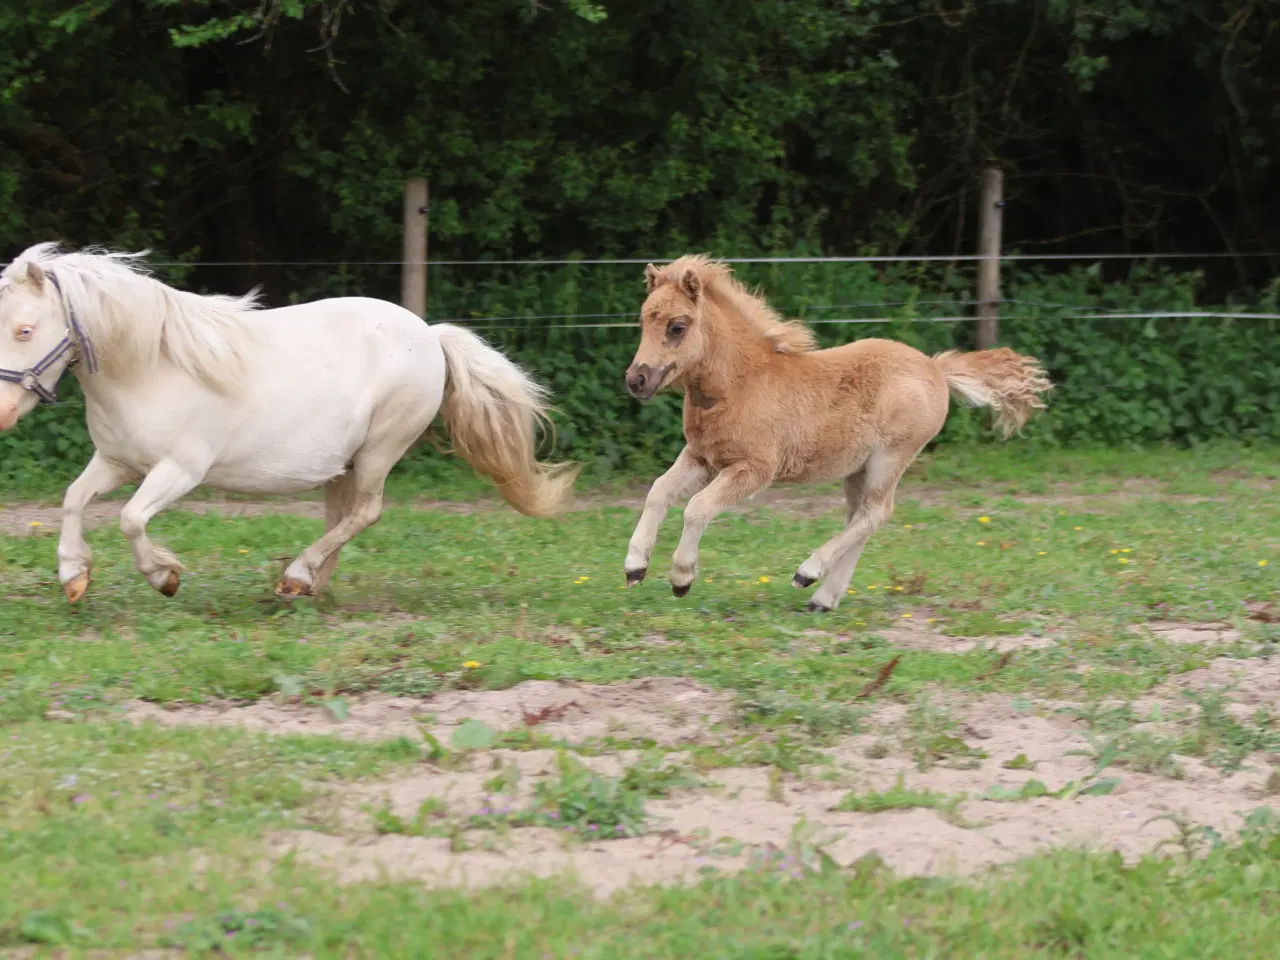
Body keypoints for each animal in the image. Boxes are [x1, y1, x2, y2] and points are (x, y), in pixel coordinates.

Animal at [619, 256, 1049, 611]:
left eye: (677, 326)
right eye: (641, 322)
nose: (636, 380)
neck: (741, 384)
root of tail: (936, 368)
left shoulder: (754, 469)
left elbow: (697, 508)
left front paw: (681, 578)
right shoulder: (702, 457)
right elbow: (658, 491)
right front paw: (635, 566)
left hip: (891, 457)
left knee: (875, 513)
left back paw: (807, 572)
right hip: (856, 468)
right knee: (861, 518)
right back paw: (824, 598)